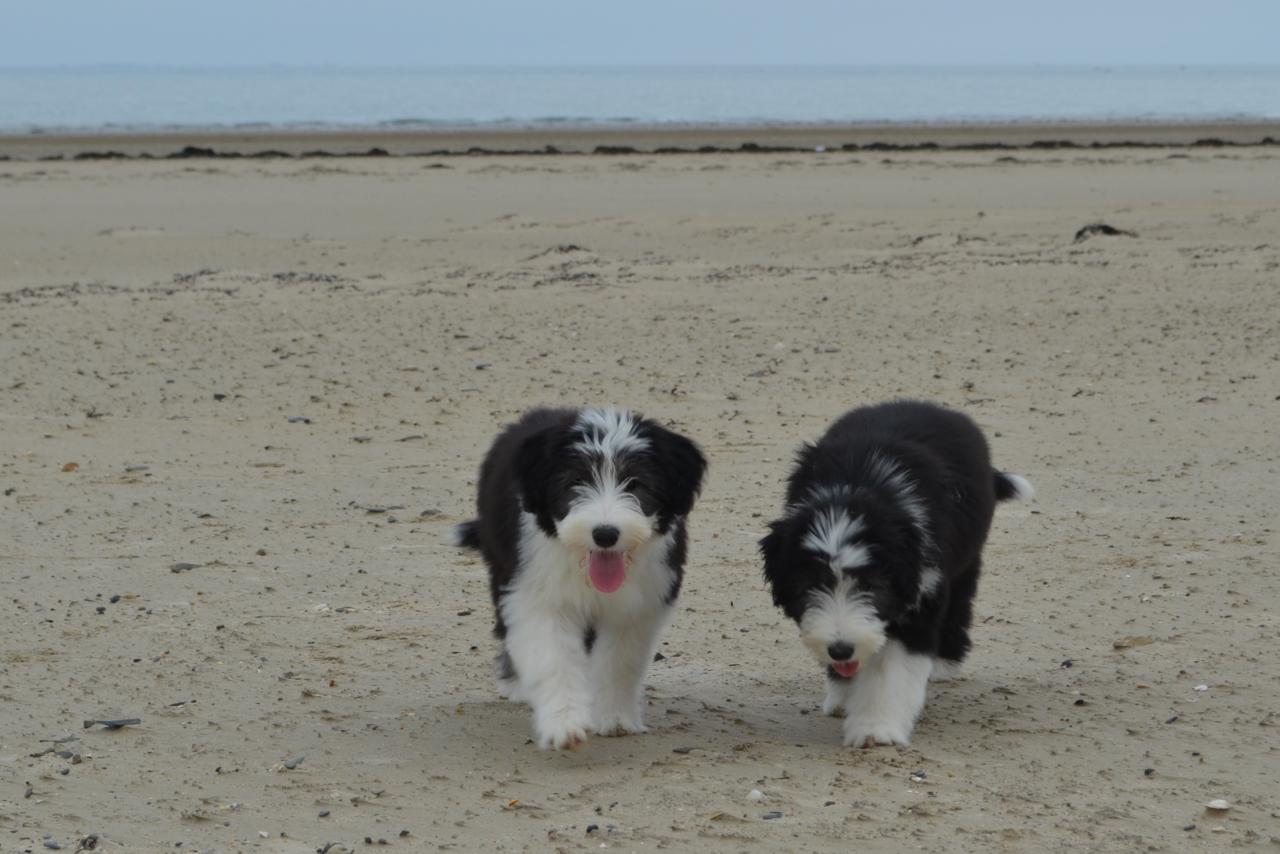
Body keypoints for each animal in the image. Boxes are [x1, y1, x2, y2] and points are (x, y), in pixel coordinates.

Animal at [453, 407, 711, 747]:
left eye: (636, 484)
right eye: (575, 482)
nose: (605, 534)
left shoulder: (635, 608)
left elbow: (618, 661)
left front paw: (614, 717)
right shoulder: (539, 596)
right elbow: (554, 657)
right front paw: (564, 723)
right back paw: (518, 683)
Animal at [757, 402, 1029, 747]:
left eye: (872, 586)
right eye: (809, 586)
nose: (841, 649)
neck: (859, 486)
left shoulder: (921, 592)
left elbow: (888, 671)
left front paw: (875, 728)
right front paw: (845, 694)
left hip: (965, 561)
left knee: (959, 605)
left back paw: (944, 663)